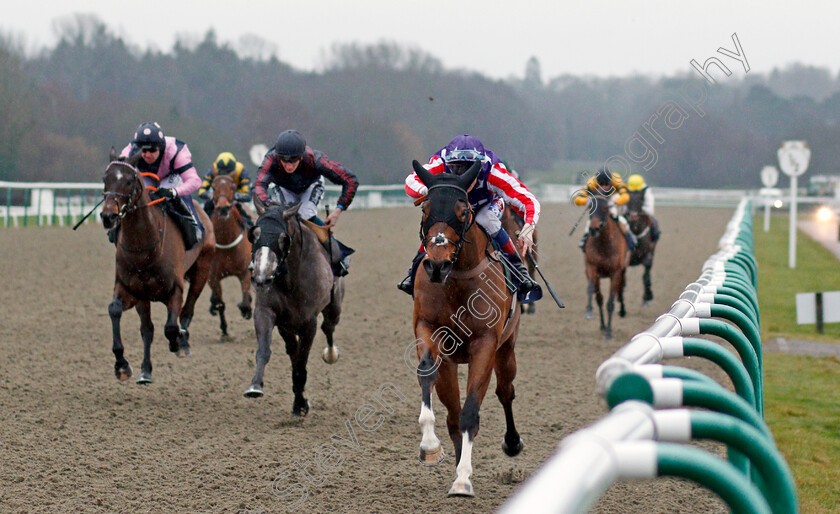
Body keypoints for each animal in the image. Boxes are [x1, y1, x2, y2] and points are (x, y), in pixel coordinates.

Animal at [100, 150, 217, 382]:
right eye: (105, 179)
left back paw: (183, 342)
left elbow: (171, 327)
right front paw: (122, 365)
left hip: (202, 270)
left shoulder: (175, 289)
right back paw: (146, 371)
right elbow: (115, 311)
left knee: (187, 312)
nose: (108, 216)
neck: (143, 250)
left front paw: (178, 343)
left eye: (129, 180)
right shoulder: (131, 290)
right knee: (147, 329)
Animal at [208, 172, 253, 334]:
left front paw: (246, 310)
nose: (223, 208)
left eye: (232, 187)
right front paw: (224, 330)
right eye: (213, 187)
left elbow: (245, 298)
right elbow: (221, 303)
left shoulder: (245, 272)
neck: (226, 240)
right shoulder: (213, 277)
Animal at [241, 201, 342, 416]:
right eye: (254, 235)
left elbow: (301, 364)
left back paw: (330, 354)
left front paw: (301, 404)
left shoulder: (308, 322)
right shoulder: (267, 311)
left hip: (334, 306)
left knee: (328, 328)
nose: (261, 278)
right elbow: (265, 350)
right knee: (292, 349)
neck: (291, 278)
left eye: (283, 239)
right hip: (286, 325)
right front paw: (255, 386)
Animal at [410, 160, 520, 496]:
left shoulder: (485, 343)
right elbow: (426, 373)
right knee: (452, 413)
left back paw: (511, 443)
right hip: (451, 362)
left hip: (506, 349)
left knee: (505, 391)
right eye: (425, 209)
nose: (436, 265)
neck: (457, 279)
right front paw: (430, 447)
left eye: (462, 211)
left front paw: (462, 479)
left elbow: (472, 411)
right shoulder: (428, 327)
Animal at [588, 194, 628, 338]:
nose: (594, 228)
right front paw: (603, 326)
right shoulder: (593, 269)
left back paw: (622, 310)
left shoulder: (616, 271)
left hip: (623, 269)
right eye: (590, 207)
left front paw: (609, 332)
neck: (604, 245)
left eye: (605, 209)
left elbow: (610, 302)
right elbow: (599, 298)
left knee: (621, 288)